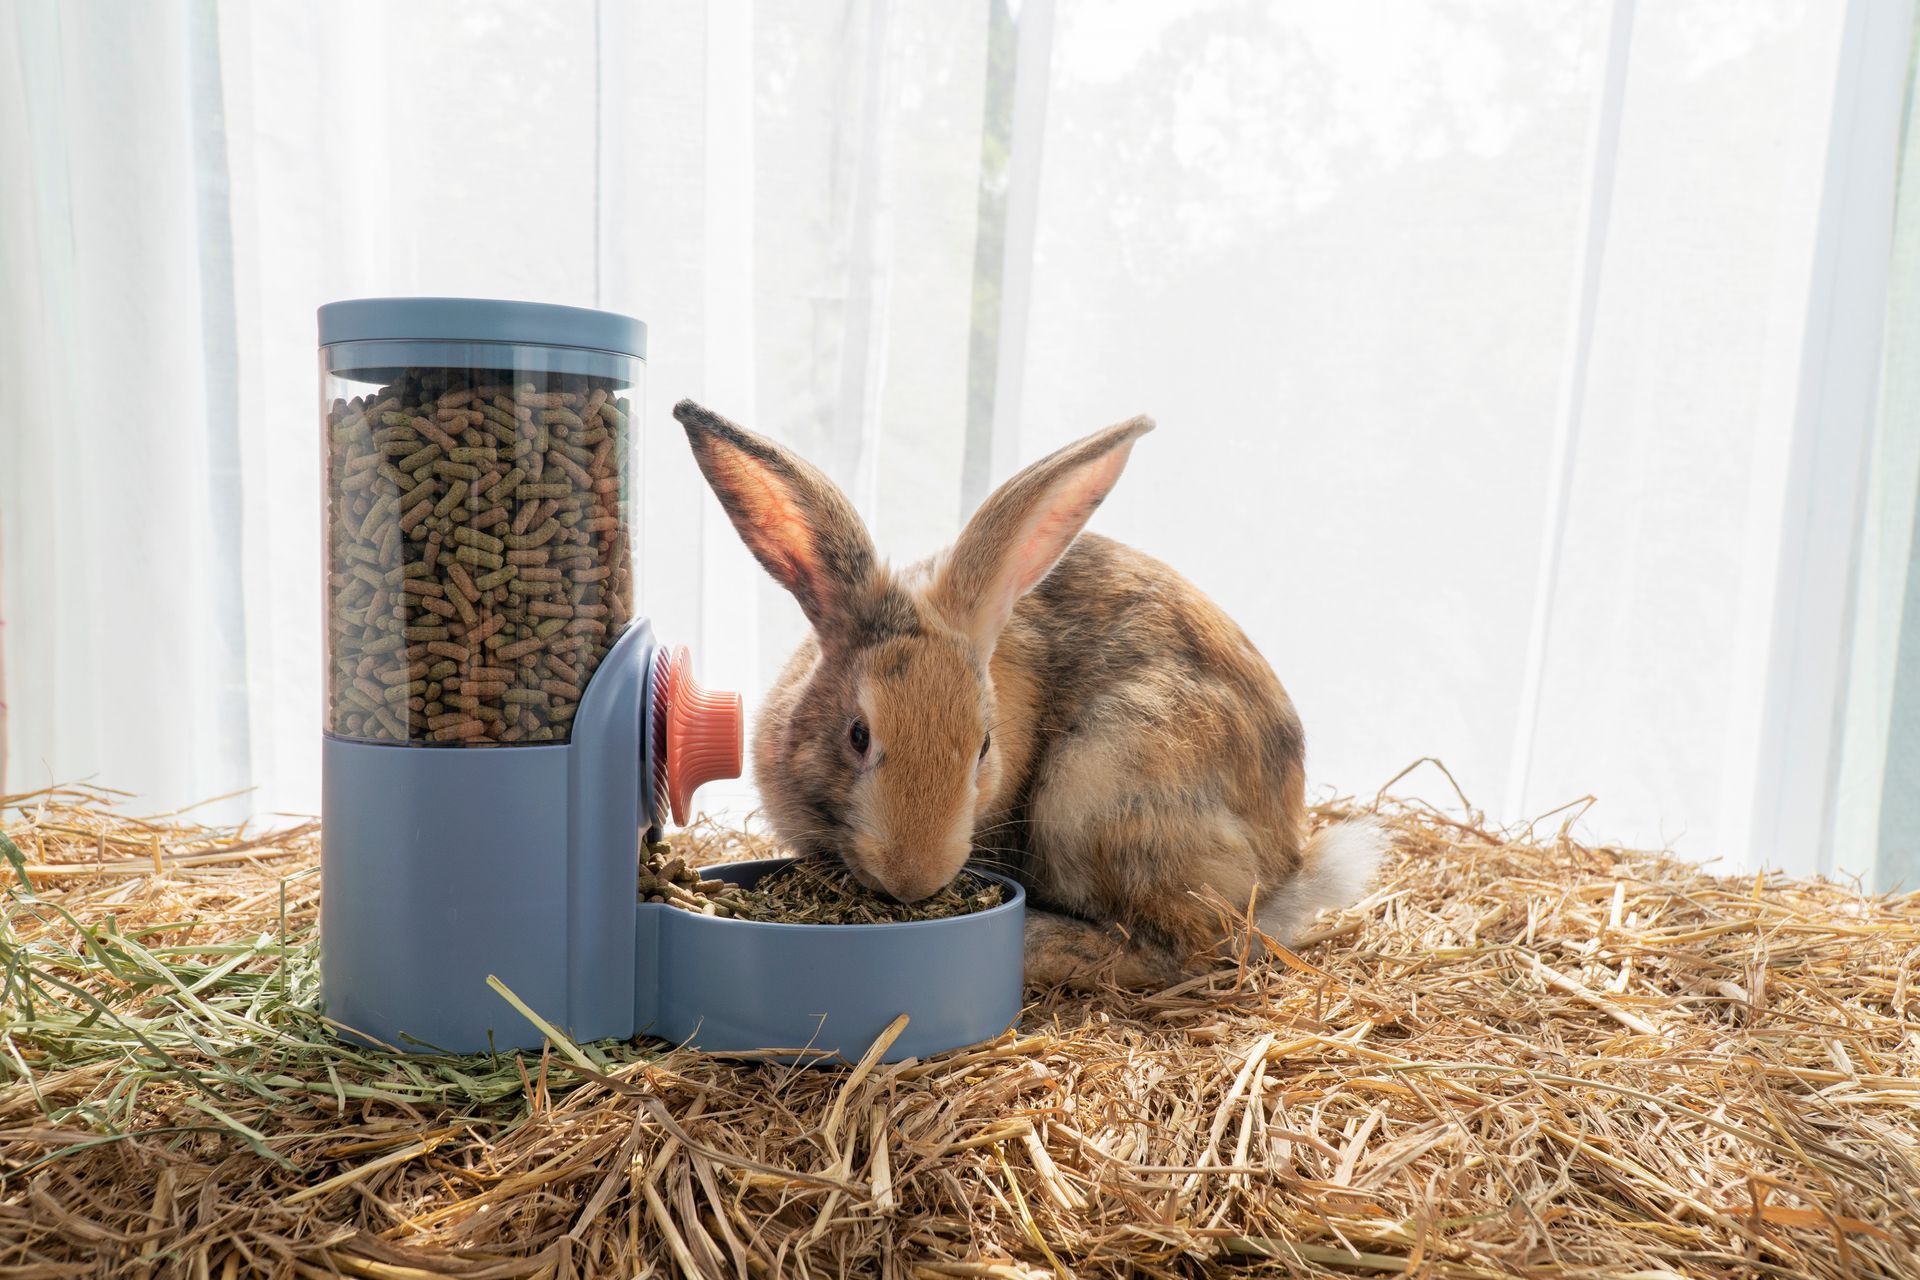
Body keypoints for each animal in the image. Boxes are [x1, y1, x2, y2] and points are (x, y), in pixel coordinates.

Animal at [674, 399, 1385, 988]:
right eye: (858, 736)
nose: (913, 879)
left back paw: (1039, 944)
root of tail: (1286, 873)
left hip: (1099, 787)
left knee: (1178, 949)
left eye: (984, 747)